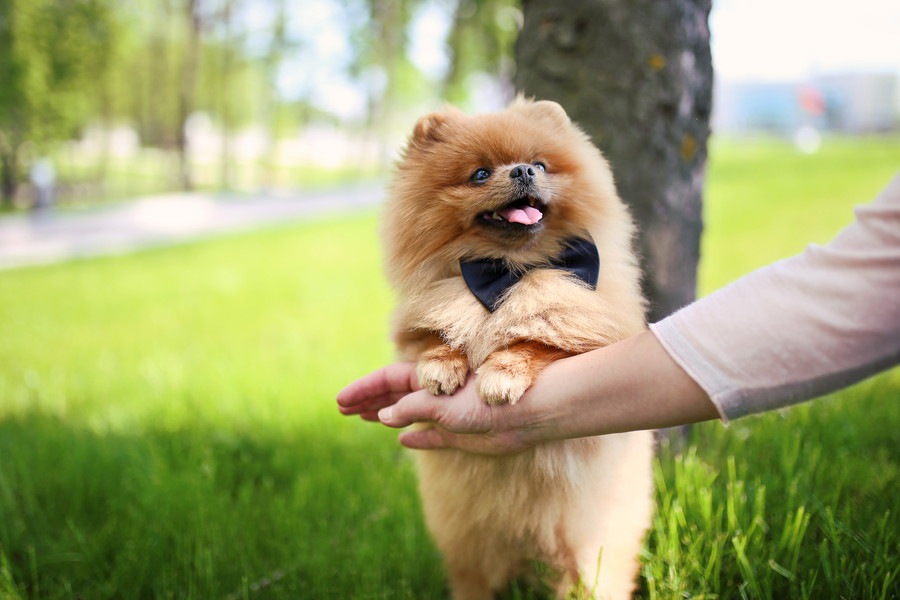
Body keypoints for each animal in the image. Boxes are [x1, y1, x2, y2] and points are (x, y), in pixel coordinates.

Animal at [382, 98, 652, 600]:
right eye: (480, 174)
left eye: (541, 164)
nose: (523, 170)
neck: (512, 270)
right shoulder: (421, 322)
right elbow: (435, 336)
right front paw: (442, 366)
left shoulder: (592, 333)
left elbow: (540, 337)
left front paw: (502, 373)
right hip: (468, 540)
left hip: (589, 542)